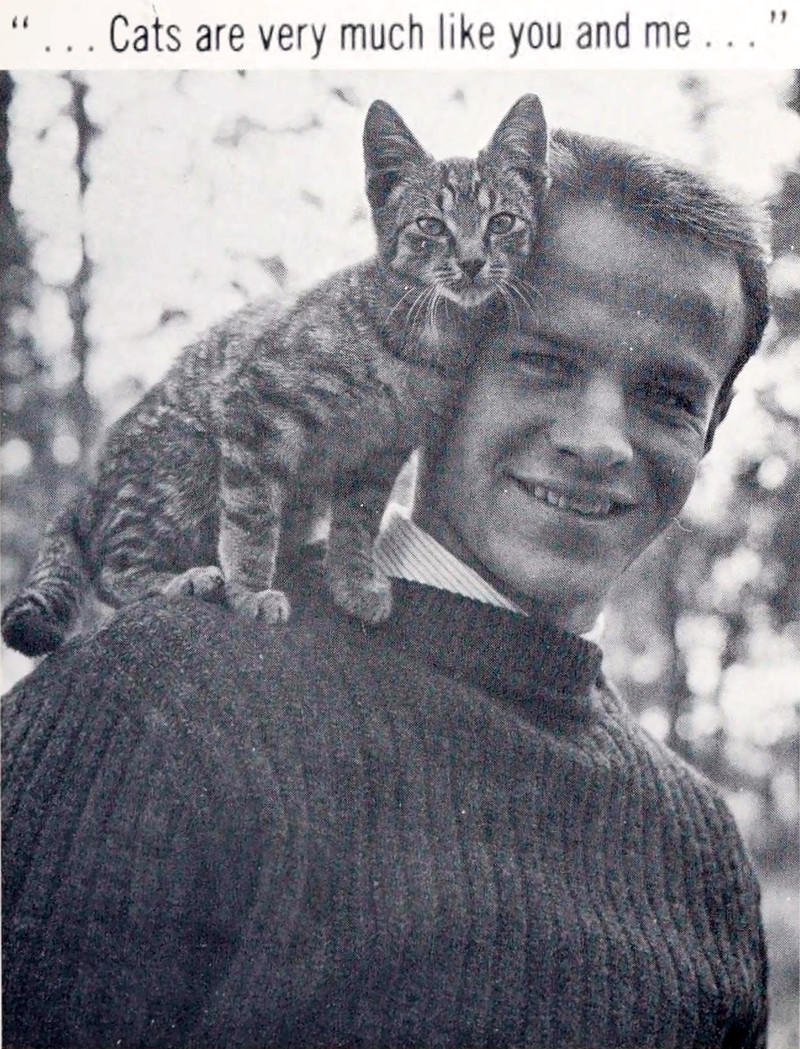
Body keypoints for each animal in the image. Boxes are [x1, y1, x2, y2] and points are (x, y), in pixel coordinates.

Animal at [2, 94, 550, 657]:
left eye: (502, 222)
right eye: (431, 226)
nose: (473, 261)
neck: (425, 339)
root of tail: (88, 489)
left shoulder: (382, 452)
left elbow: (357, 524)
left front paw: (352, 582)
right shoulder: (256, 409)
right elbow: (251, 518)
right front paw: (250, 591)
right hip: (184, 458)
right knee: (114, 567)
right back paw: (182, 580)